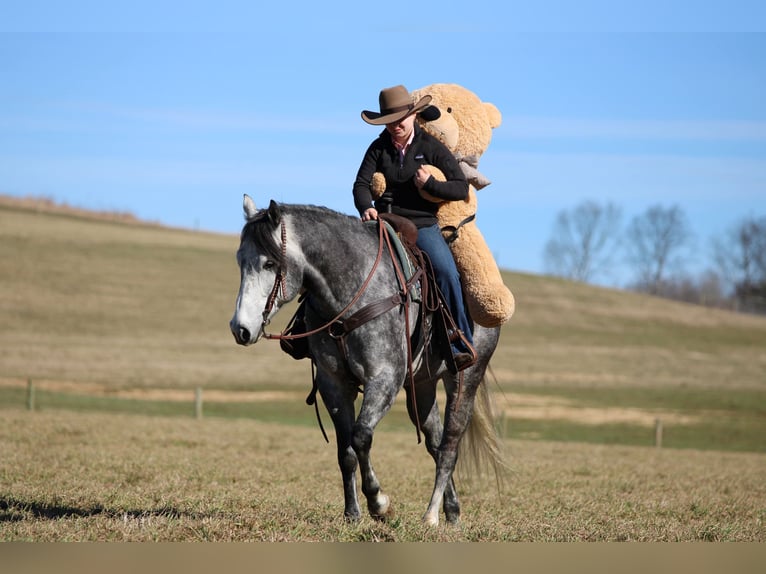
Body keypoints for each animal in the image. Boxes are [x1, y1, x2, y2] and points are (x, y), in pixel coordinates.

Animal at [229, 195, 506, 526]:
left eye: (269, 263)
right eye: (240, 261)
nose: (240, 329)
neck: (349, 295)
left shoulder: (384, 378)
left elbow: (361, 436)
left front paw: (379, 502)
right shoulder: (333, 384)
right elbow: (345, 450)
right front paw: (352, 513)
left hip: (465, 377)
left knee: (450, 444)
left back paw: (431, 514)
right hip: (422, 385)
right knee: (435, 442)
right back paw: (451, 510)